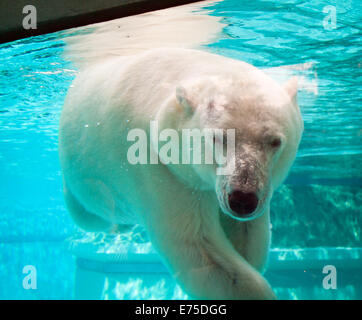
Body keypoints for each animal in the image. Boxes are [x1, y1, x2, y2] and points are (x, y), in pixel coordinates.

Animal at [58, 48, 302, 300]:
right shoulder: (161, 169)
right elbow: (197, 247)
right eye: (218, 138)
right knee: (88, 213)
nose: (242, 199)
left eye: (275, 141)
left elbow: (247, 235)